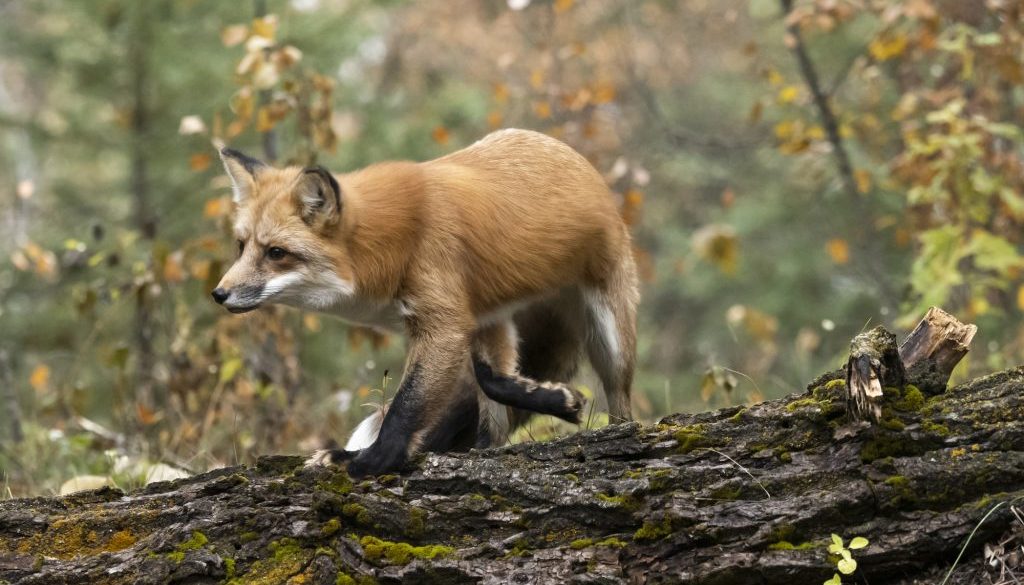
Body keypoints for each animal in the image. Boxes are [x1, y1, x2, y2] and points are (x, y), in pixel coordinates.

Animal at [211, 128, 634, 475]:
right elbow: (492, 381)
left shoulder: (443, 324)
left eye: (276, 253)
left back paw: (622, 434)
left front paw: (369, 462)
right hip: (499, 321)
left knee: (621, 404)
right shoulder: (471, 318)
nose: (219, 294)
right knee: (491, 407)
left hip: (610, 336)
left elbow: (405, 407)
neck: (389, 245)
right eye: (241, 246)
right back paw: (483, 450)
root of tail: (573, 157)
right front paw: (557, 400)